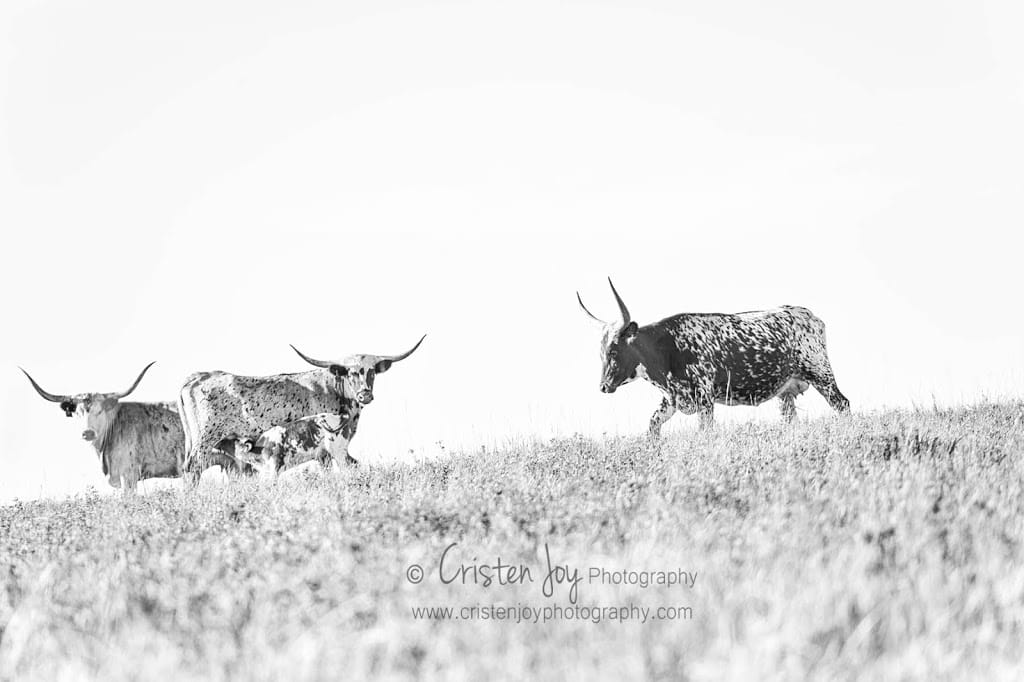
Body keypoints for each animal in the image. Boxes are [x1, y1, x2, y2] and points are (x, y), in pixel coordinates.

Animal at [178, 333, 425, 483]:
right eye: (351, 372)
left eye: (372, 372)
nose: (365, 394)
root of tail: (196, 378)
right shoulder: (324, 447)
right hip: (206, 439)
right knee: (193, 468)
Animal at [577, 278, 847, 432]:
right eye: (600, 353)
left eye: (614, 350)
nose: (603, 386)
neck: (668, 348)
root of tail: (809, 314)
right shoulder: (672, 400)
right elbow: (652, 426)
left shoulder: (705, 399)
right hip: (785, 393)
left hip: (821, 375)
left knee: (842, 405)